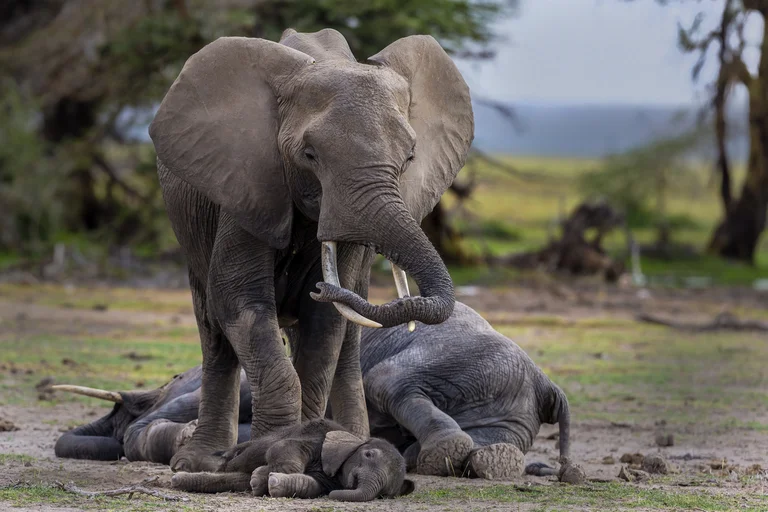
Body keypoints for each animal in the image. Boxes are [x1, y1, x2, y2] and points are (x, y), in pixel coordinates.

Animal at [149, 26, 472, 470]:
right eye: (309, 155)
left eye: (409, 158)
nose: (322, 287)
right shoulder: (247, 183)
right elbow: (240, 302)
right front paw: (258, 458)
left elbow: (324, 326)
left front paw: (292, 452)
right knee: (214, 331)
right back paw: (198, 462)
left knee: (346, 340)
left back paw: (354, 440)